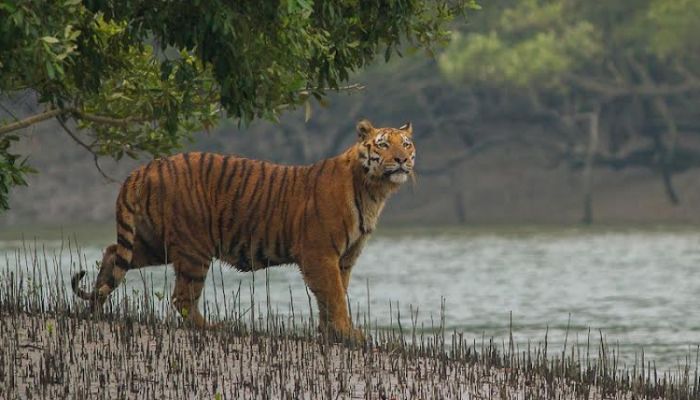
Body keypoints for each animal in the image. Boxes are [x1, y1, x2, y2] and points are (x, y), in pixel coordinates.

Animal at [71, 119, 416, 342]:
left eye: (406, 143)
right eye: (384, 144)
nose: (401, 160)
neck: (374, 190)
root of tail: (145, 168)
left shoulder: (344, 259)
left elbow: (334, 295)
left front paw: (331, 332)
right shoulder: (320, 254)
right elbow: (333, 295)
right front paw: (347, 333)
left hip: (153, 242)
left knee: (112, 254)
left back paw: (95, 309)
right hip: (194, 247)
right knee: (182, 297)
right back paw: (212, 327)